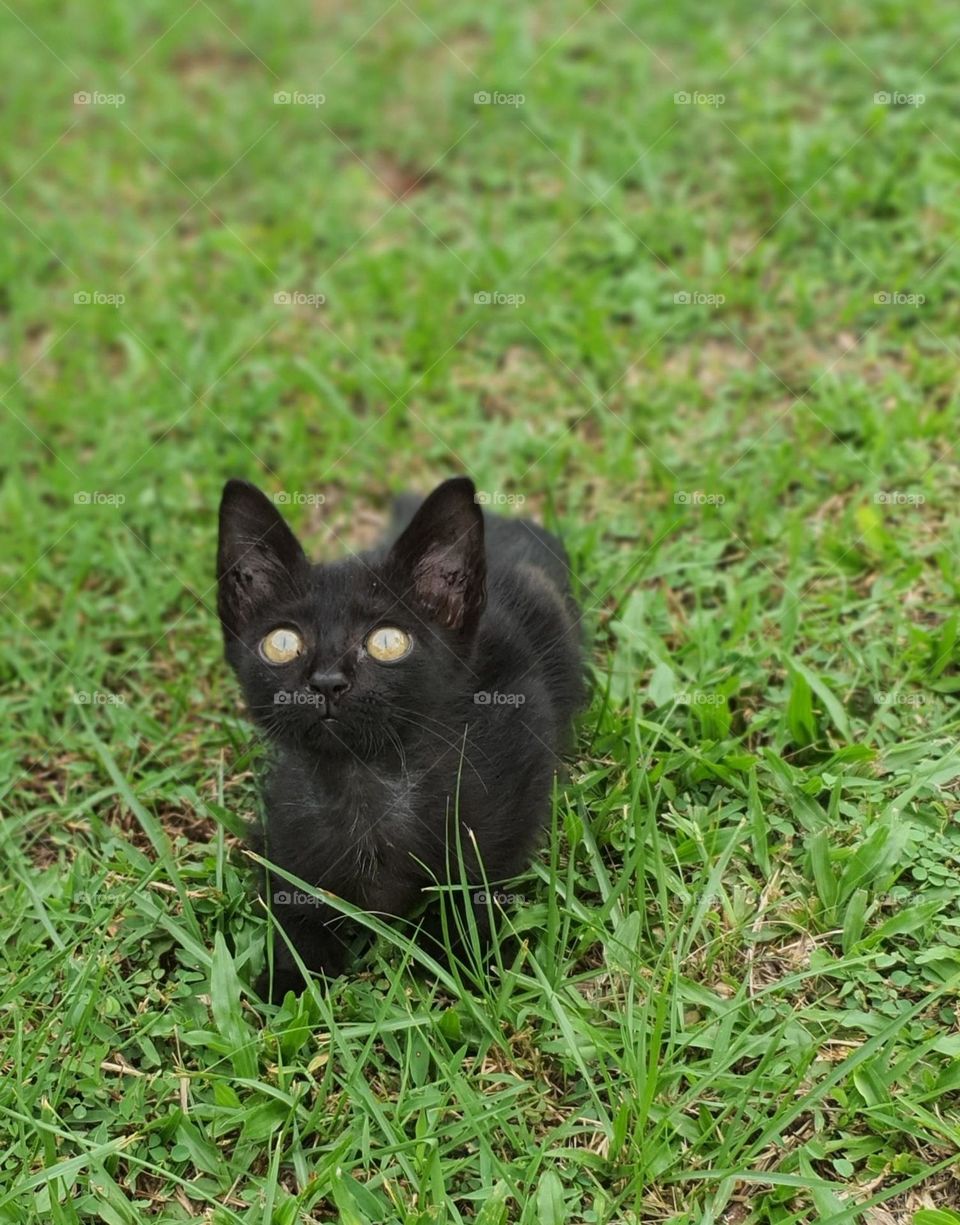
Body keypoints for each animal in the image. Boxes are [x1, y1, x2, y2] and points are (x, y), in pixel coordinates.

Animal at [217, 472, 585, 999]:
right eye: (283, 643)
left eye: (387, 642)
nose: (326, 682)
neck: (366, 781)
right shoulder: (283, 824)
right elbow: (293, 908)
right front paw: (289, 981)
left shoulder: (520, 750)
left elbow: (475, 886)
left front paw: (460, 964)